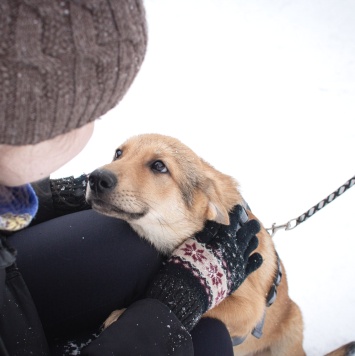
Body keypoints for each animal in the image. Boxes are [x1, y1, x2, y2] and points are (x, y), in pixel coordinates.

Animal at [87, 134, 355, 356]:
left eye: (159, 166)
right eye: (118, 153)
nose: (95, 178)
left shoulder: (249, 308)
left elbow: (205, 308)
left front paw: (121, 314)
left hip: (292, 327)